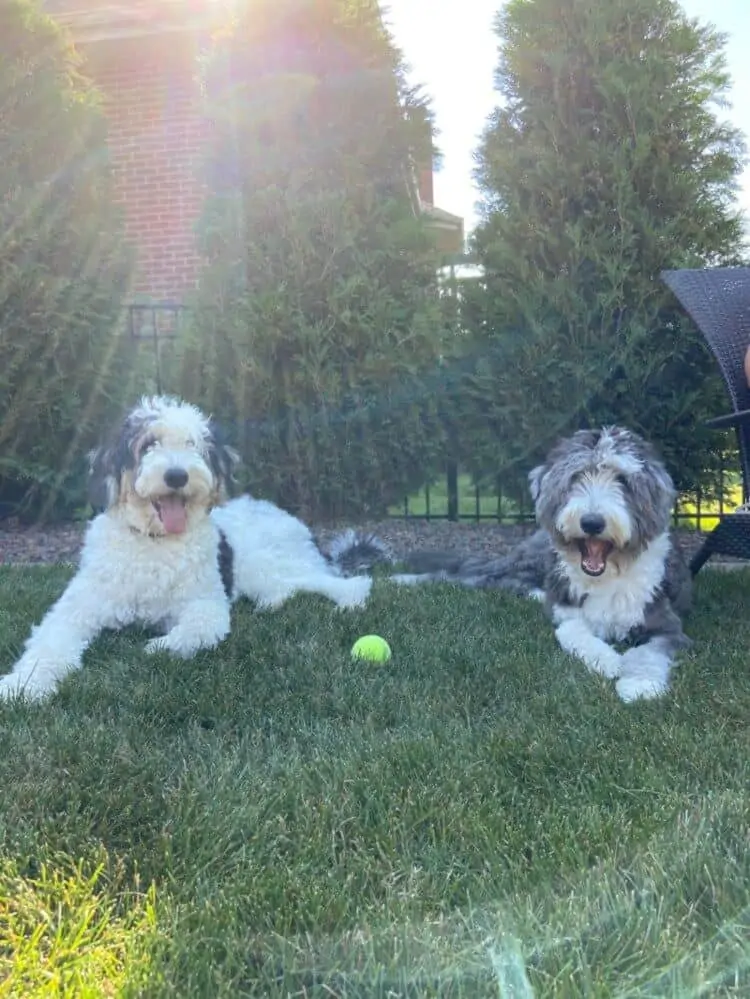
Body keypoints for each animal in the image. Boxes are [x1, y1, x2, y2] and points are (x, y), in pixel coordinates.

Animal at [0, 392, 378, 704]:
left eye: (193, 444)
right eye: (148, 444)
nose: (177, 476)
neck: (154, 542)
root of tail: (293, 520)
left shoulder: (205, 605)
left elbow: (194, 631)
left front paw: (158, 646)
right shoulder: (75, 609)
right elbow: (48, 643)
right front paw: (22, 686)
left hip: (270, 564)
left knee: (344, 583)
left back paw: (348, 602)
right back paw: (270, 605)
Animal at [394, 428, 692, 704]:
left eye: (622, 480)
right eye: (576, 477)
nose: (592, 522)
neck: (607, 574)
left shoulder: (666, 624)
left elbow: (649, 653)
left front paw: (639, 685)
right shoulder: (565, 610)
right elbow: (572, 630)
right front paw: (608, 661)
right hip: (529, 560)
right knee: (478, 577)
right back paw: (403, 579)